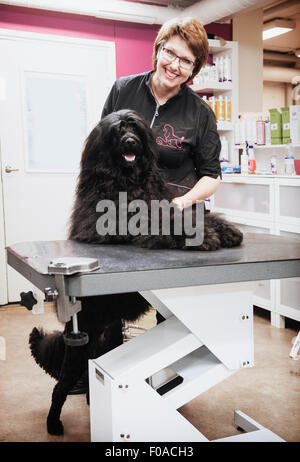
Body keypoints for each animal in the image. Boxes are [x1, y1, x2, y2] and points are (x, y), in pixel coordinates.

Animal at [28, 110, 244, 434]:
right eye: (117, 132)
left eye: (136, 130)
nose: (131, 142)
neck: (128, 179)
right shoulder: (111, 220)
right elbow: (157, 220)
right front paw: (202, 236)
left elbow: (184, 213)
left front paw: (225, 229)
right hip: (79, 347)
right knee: (60, 387)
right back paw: (54, 424)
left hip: (108, 340)